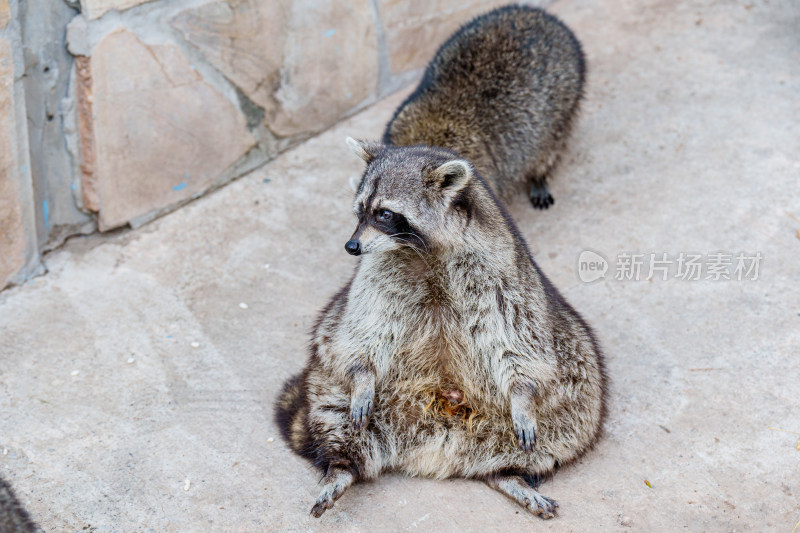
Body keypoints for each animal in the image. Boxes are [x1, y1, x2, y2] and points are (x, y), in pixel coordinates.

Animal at [276, 139, 608, 516]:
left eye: (384, 213)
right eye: (360, 211)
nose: (351, 247)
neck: (422, 250)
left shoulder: (502, 273)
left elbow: (515, 340)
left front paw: (522, 396)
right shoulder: (377, 272)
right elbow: (364, 329)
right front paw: (362, 377)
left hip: (573, 380)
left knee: (569, 419)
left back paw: (509, 474)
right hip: (328, 380)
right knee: (334, 409)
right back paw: (341, 466)